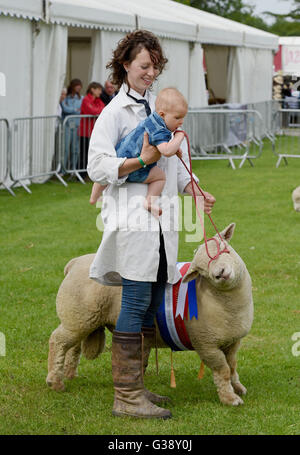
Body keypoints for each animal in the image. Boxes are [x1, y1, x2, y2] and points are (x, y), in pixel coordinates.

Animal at [47, 224, 253, 406]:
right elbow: (223, 370)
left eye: (224, 250)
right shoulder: (206, 344)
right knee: (58, 341)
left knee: (73, 346)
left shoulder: (233, 340)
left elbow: (232, 366)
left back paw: (70, 374)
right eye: (201, 270)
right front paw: (230, 399)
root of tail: (75, 263)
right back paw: (55, 381)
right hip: (77, 316)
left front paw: (238, 388)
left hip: (81, 318)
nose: (220, 273)